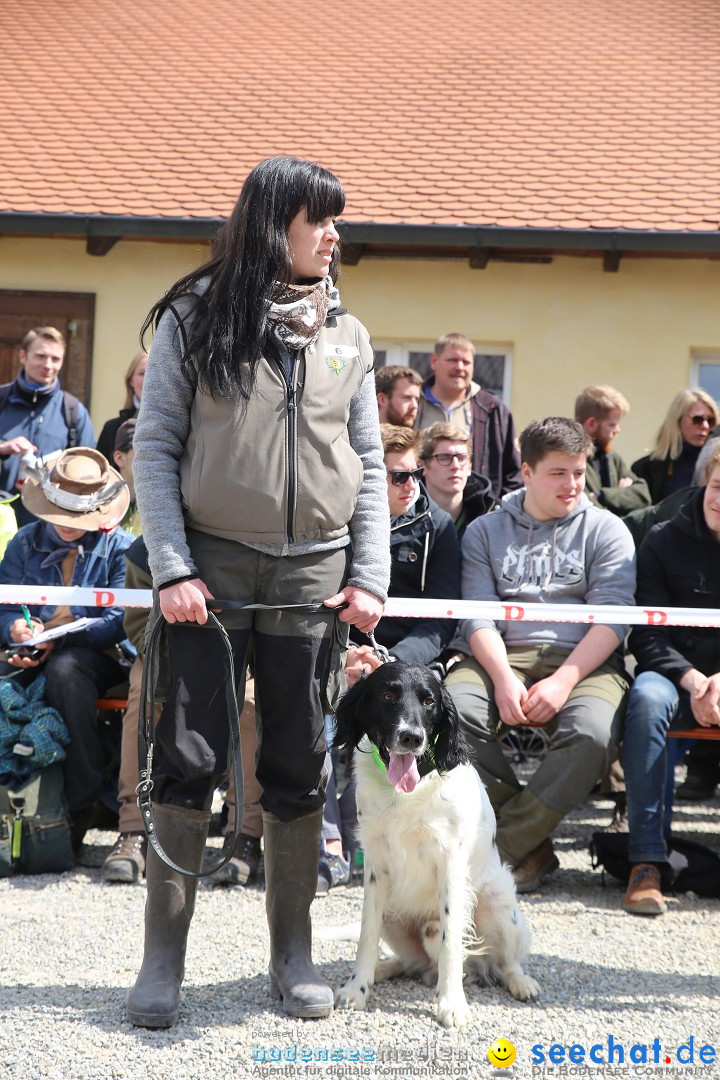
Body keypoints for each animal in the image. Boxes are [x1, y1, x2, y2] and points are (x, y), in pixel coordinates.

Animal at [334, 656, 539, 1028]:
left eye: (429, 701)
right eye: (387, 696)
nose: (412, 737)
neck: (408, 789)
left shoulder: (451, 865)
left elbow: (450, 942)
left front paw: (452, 1004)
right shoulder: (375, 867)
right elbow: (366, 935)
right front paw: (357, 988)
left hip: (498, 898)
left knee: (506, 961)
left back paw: (520, 982)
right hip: (393, 913)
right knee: (411, 963)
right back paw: (384, 970)